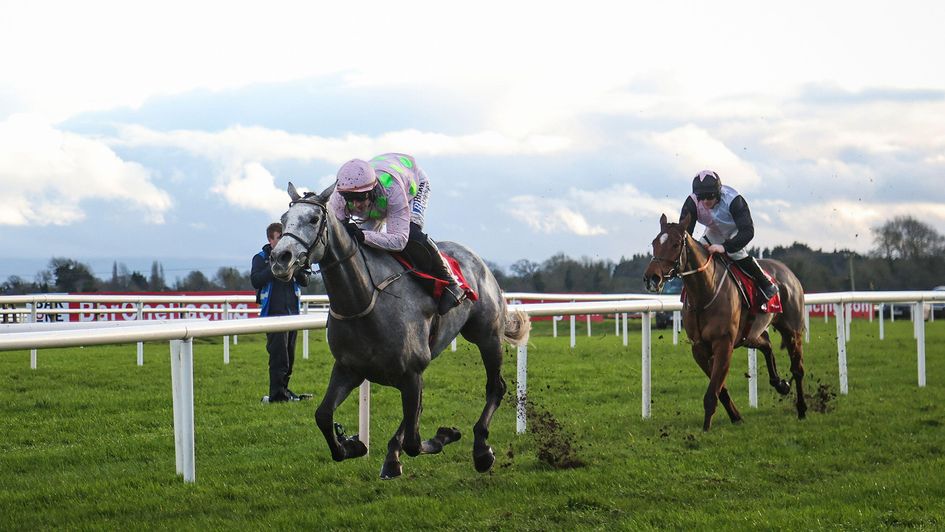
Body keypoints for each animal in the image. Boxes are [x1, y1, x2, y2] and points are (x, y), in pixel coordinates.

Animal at [270, 183, 532, 478]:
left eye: (314, 219)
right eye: (283, 219)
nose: (280, 258)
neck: (365, 301)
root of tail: (476, 259)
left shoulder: (411, 372)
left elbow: (415, 443)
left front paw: (445, 435)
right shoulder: (349, 369)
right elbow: (323, 416)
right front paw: (352, 445)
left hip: (486, 336)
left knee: (495, 387)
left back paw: (482, 451)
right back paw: (392, 457)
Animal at [644, 214, 808, 430]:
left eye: (676, 243)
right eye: (655, 242)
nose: (651, 278)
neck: (705, 293)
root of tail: (788, 272)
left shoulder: (724, 343)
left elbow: (713, 391)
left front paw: (705, 429)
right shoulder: (699, 348)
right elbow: (719, 389)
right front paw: (735, 417)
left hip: (791, 330)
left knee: (797, 369)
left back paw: (802, 409)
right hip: (750, 334)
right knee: (766, 343)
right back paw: (780, 384)